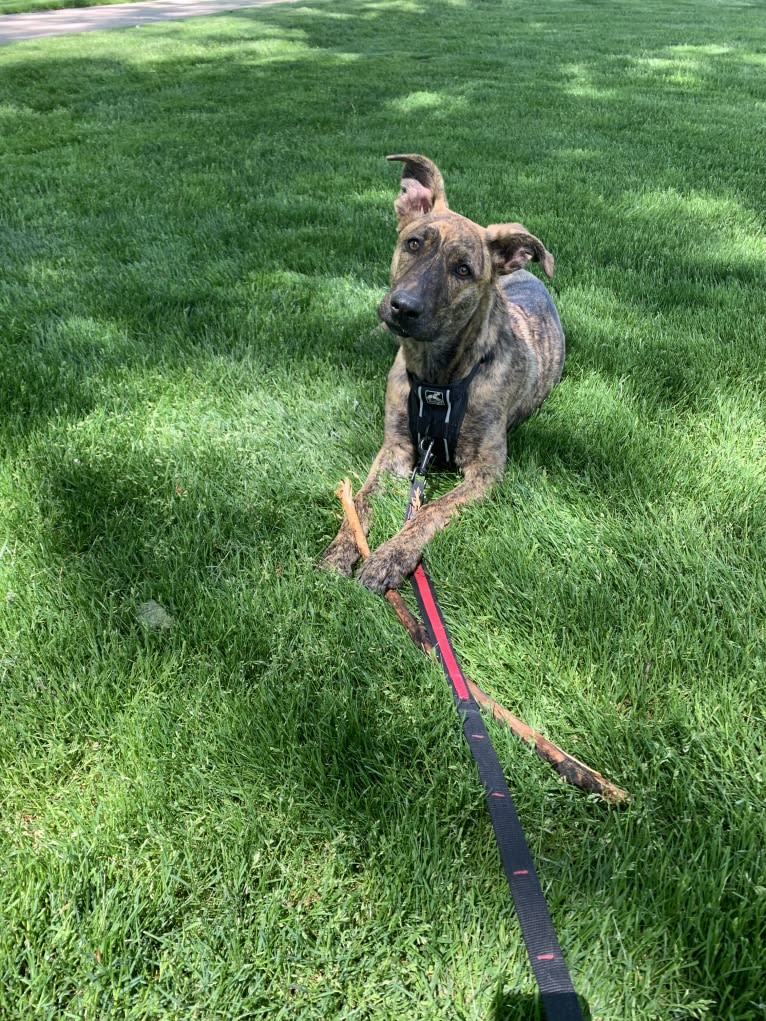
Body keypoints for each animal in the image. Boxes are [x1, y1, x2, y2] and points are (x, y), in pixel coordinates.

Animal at [320, 154, 567, 596]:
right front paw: (342, 548)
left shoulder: (486, 470)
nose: (403, 307)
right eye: (414, 243)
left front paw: (390, 556)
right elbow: (362, 499)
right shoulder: (395, 450)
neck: (437, 379)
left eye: (463, 270)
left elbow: (430, 508)